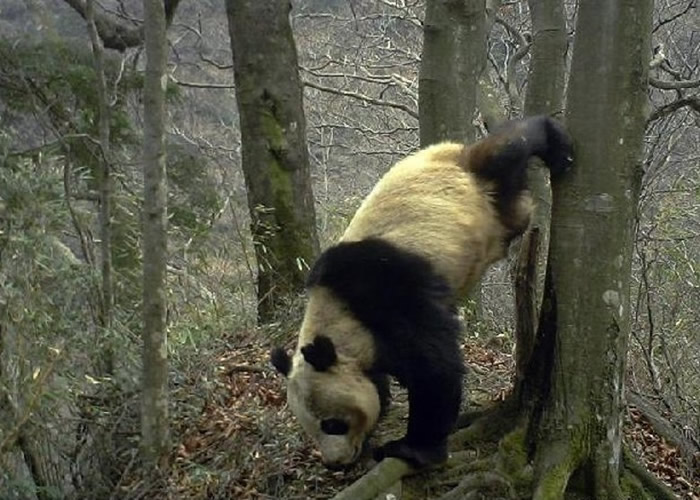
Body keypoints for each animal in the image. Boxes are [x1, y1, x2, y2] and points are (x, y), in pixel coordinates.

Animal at [270, 115, 572, 470]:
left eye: (332, 424)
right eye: (311, 428)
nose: (336, 462)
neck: (336, 309)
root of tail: (445, 151)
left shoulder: (386, 288)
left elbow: (434, 367)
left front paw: (412, 448)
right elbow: (380, 383)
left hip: (474, 178)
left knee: (508, 149)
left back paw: (555, 143)